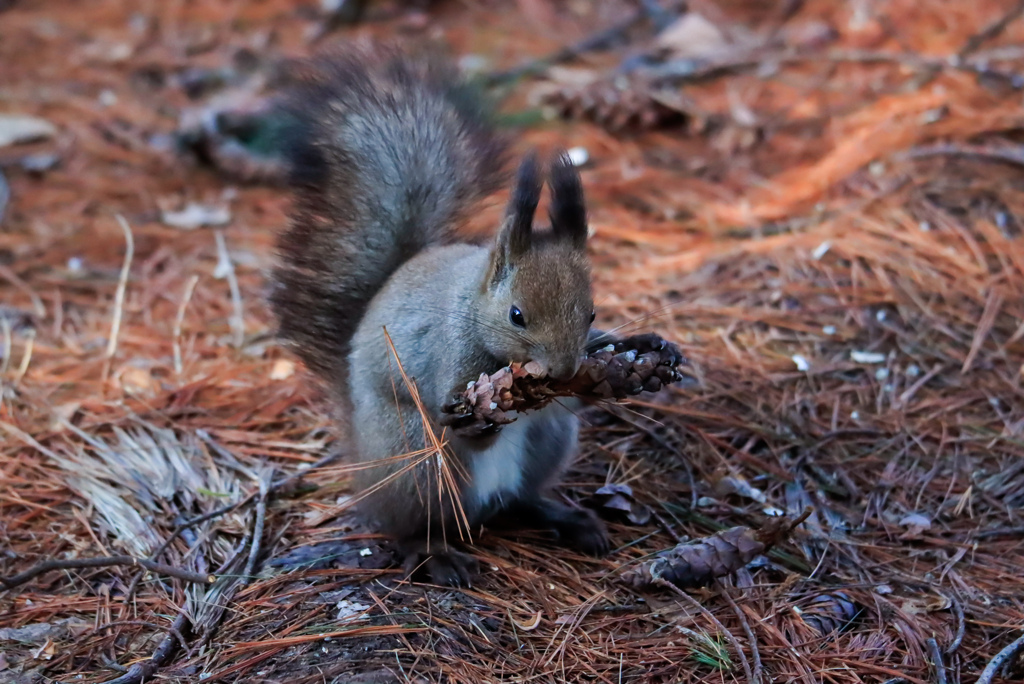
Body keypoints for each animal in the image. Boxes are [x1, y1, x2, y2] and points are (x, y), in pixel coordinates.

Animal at [272, 44, 638, 589]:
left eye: (592, 313)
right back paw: (435, 553)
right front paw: (472, 418)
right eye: (516, 315)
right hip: (416, 463)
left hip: (548, 440)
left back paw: (565, 517)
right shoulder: (453, 352)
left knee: (520, 499)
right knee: (408, 524)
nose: (564, 370)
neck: (473, 307)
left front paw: (644, 349)